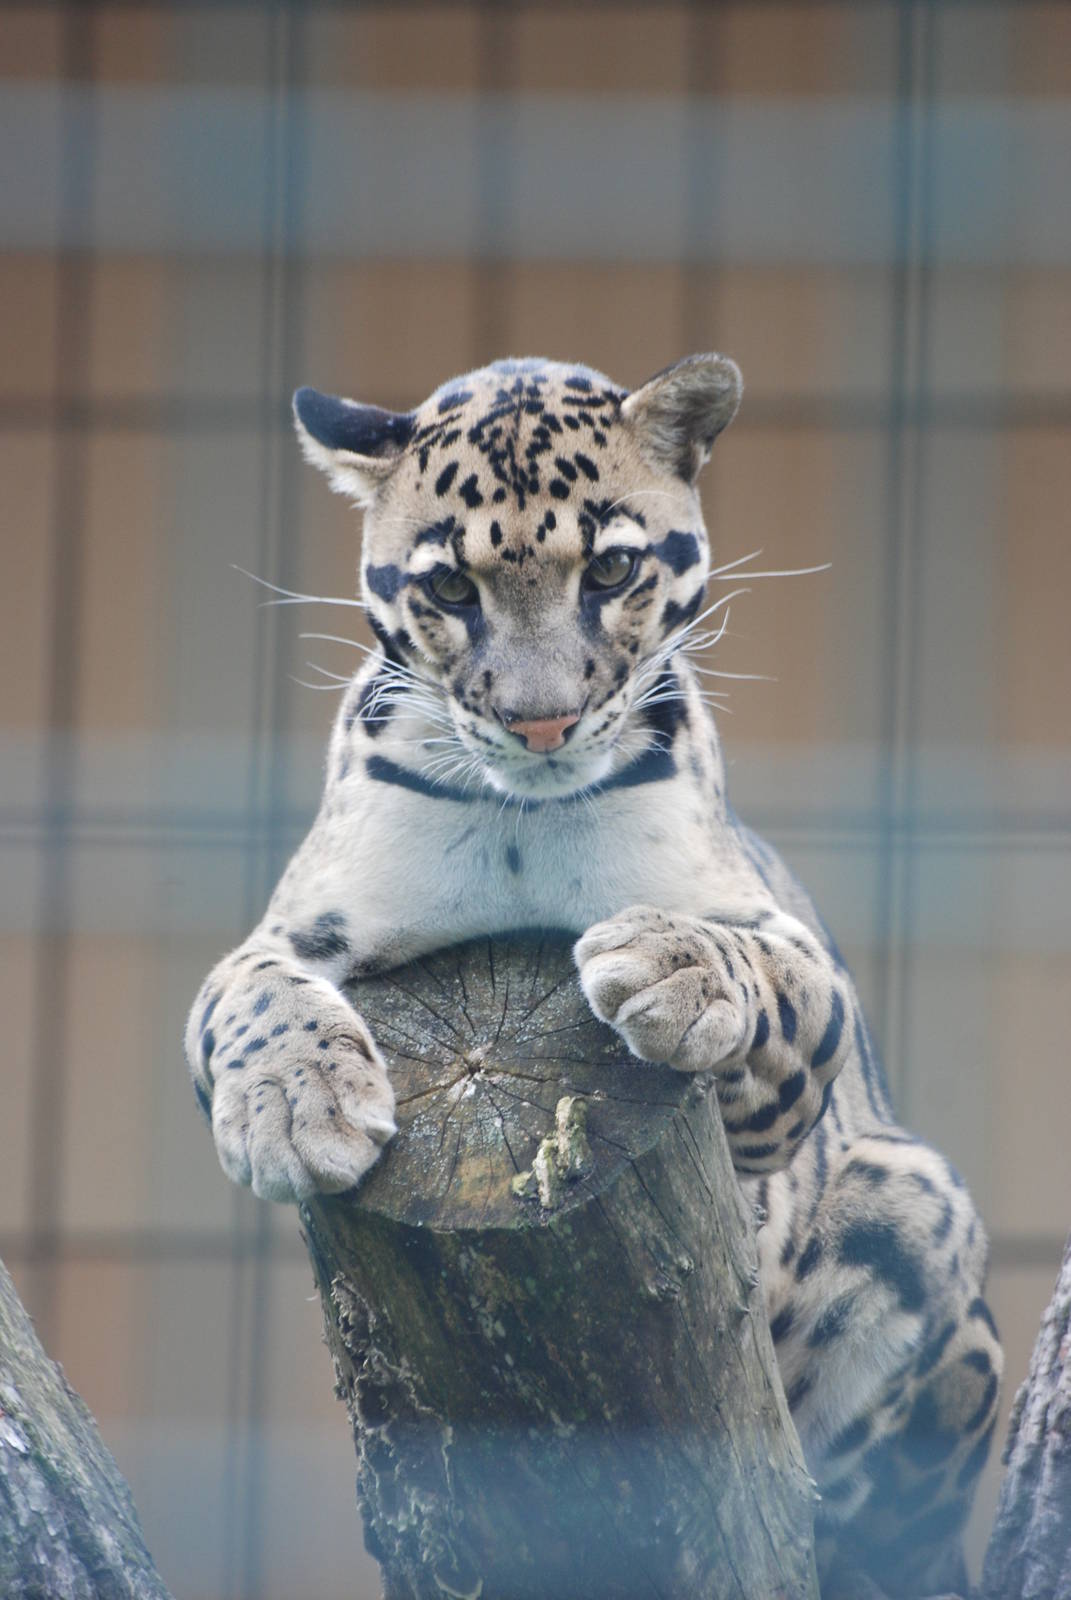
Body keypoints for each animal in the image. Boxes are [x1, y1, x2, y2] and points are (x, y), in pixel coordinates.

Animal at [186, 353, 1002, 1597]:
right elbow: (245, 1001)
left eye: (612, 569)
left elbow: (767, 976)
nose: (543, 721)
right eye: (451, 588)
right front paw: (295, 1107)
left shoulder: (795, 977)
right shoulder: (289, 926)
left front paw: (670, 965)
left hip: (919, 1207)